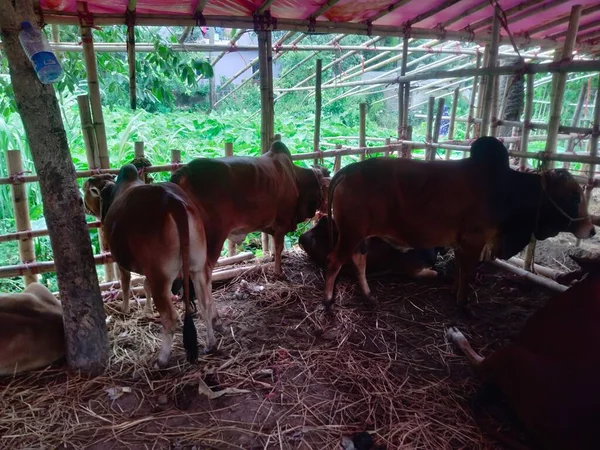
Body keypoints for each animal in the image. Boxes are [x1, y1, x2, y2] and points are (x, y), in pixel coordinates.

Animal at [83, 163, 217, 368]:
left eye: (87, 189)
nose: (82, 203)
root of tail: (172, 201)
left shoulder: (121, 261)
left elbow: (125, 282)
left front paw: (125, 309)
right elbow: (145, 285)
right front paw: (147, 309)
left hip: (160, 276)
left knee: (170, 317)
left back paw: (162, 360)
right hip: (197, 267)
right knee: (205, 303)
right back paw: (210, 344)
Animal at [322, 137, 592, 312]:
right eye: (574, 197)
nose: (591, 229)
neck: (505, 191)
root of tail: (347, 170)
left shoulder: (462, 242)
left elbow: (461, 268)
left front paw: (454, 292)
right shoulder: (475, 239)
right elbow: (468, 271)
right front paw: (463, 303)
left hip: (361, 236)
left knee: (359, 261)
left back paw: (368, 295)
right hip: (351, 233)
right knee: (334, 260)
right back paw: (328, 299)